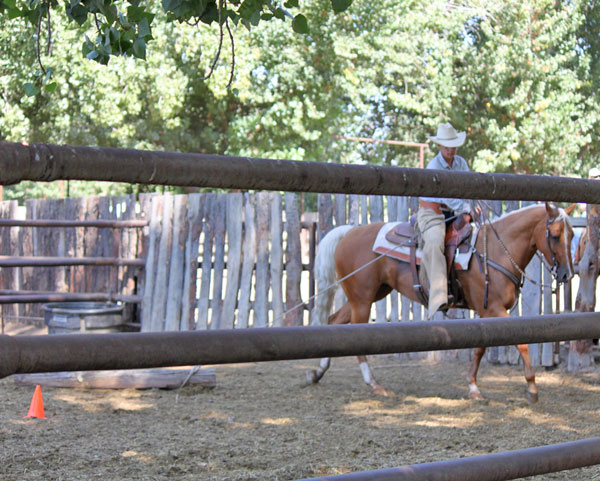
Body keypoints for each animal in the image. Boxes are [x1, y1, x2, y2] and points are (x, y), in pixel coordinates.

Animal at [310, 202, 576, 402]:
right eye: (554, 236)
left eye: (572, 234)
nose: (566, 274)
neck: (494, 250)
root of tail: (348, 232)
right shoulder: (493, 309)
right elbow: (521, 344)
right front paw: (531, 388)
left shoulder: (486, 313)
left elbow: (480, 348)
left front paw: (473, 387)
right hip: (363, 299)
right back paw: (374, 384)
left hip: (367, 295)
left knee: (333, 323)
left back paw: (317, 373)